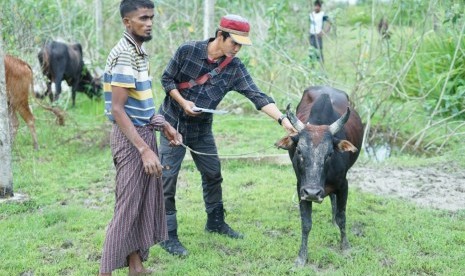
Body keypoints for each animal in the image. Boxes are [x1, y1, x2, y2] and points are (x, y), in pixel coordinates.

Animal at [276, 87, 362, 268]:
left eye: (329, 153)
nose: (313, 193)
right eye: (299, 151)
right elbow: (306, 223)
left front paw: (345, 247)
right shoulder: (301, 188)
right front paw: (301, 257)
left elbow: (342, 217)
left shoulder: (344, 185)